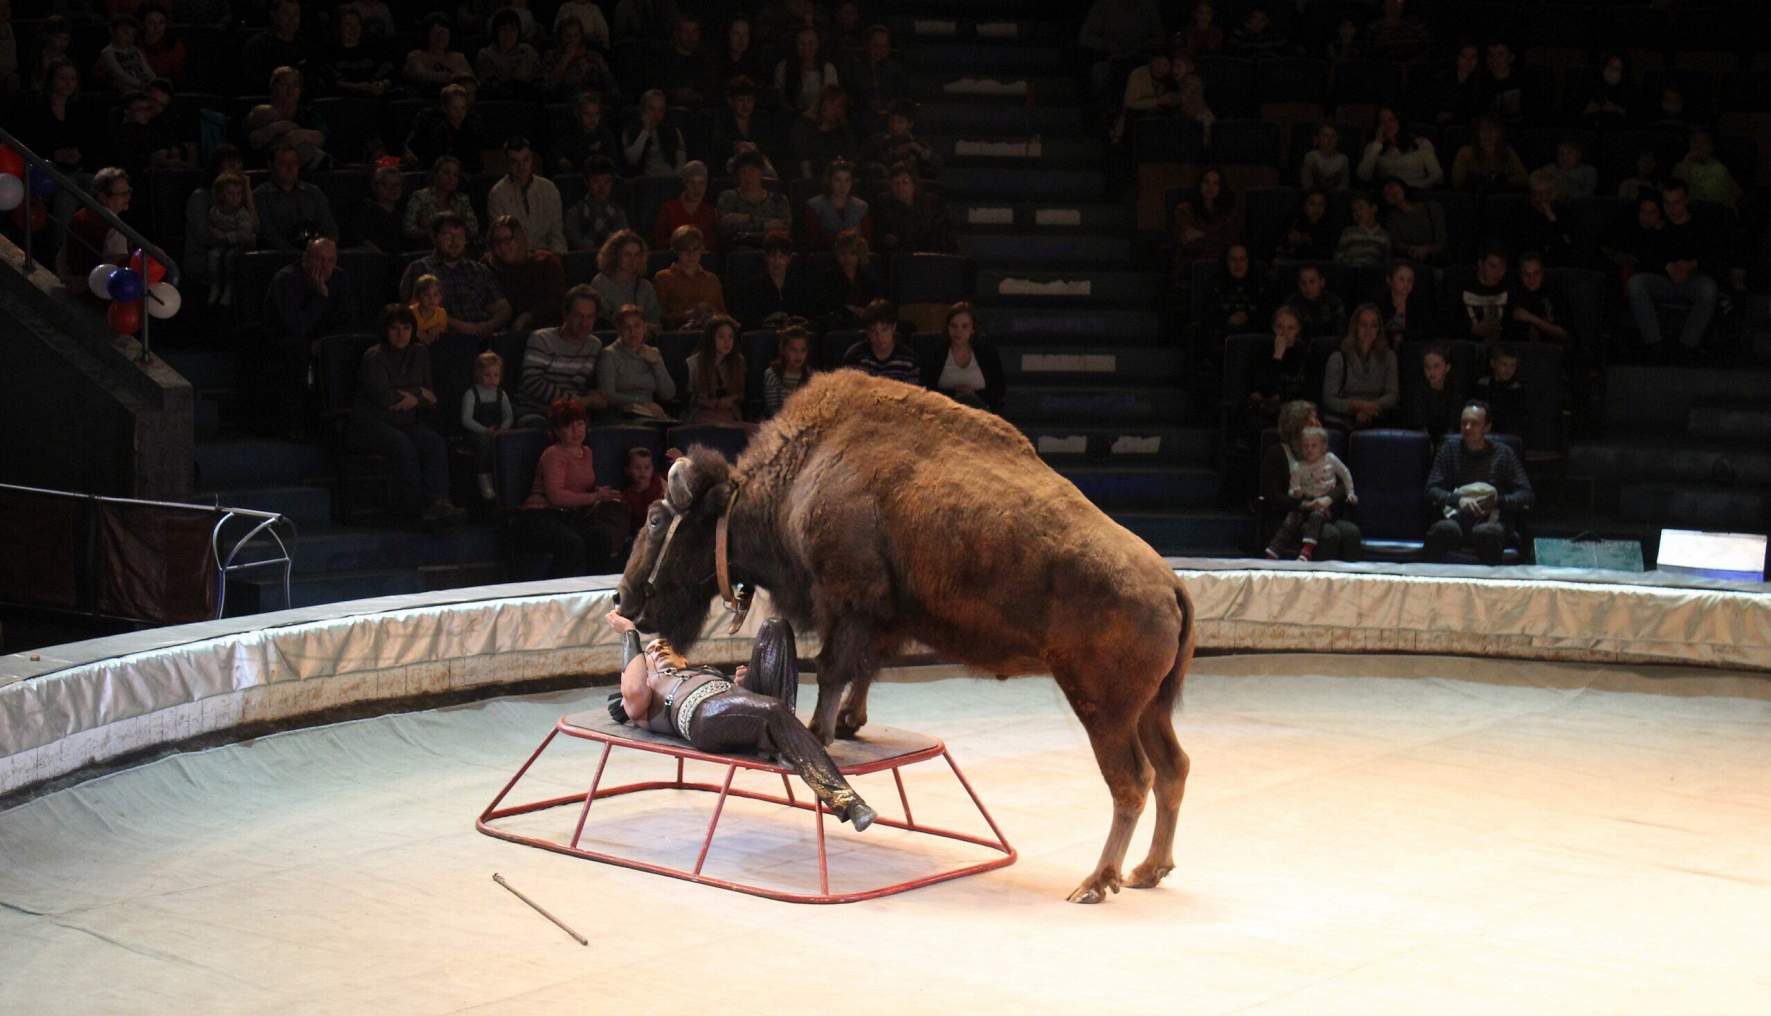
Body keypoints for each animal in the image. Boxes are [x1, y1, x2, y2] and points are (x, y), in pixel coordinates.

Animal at [616, 369, 1197, 902]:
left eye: (655, 518)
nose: (622, 598)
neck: (803, 473)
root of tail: (1169, 583)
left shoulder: (846, 600)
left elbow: (833, 667)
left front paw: (821, 728)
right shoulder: (877, 618)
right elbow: (862, 668)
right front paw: (848, 724)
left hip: (1103, 710)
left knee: (1132, 781)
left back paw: (1097, 883)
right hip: (1150, 709)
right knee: (1173, 768)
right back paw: (1149, 871)